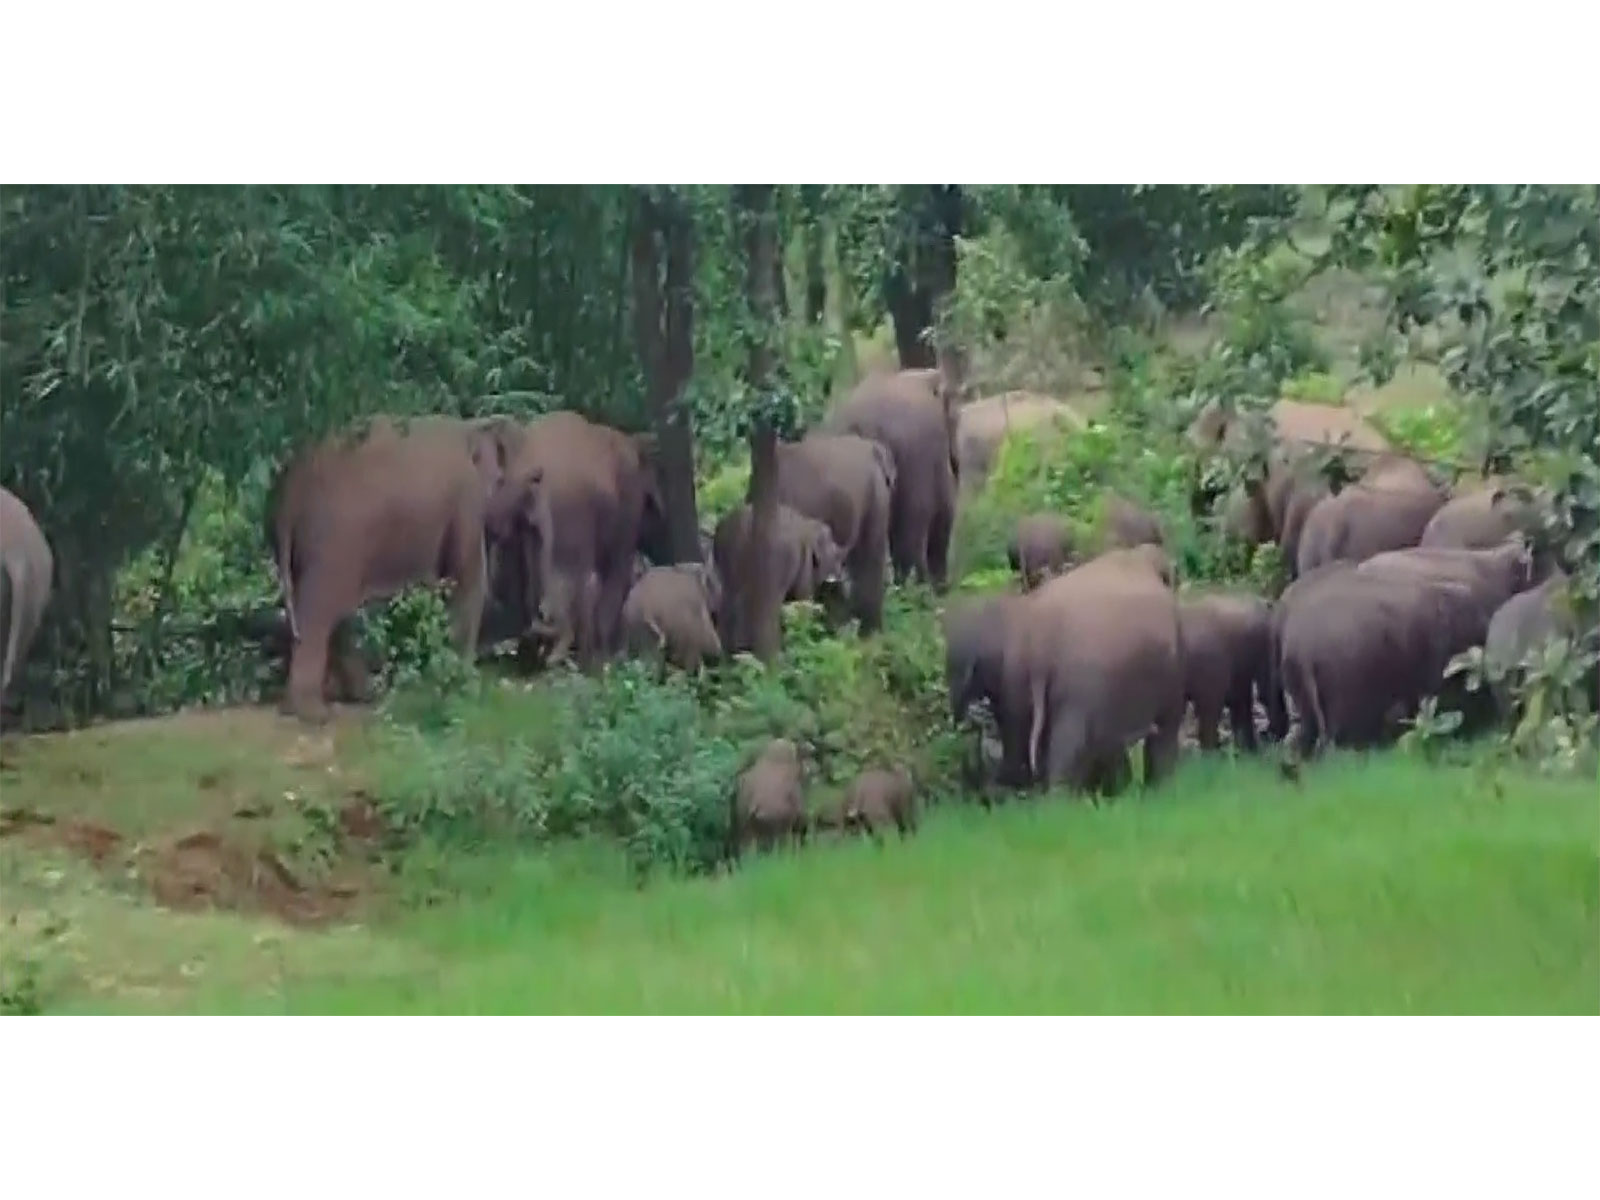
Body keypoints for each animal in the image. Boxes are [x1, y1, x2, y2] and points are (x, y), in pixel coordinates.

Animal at [267, 415, 506, 722]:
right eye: (502, 480)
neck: (470, 426)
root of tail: (289, 494)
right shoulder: (466, 501)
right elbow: (466, 581)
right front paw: (464, 687)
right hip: (335, 541)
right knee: (319, 612)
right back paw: (314, 713)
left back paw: (360, 695)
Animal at [823, 366, 960, 590]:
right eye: (956, 418)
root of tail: (862, 424)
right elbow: (944, 510)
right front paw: (941, 588)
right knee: (912, 525)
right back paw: (917, 590)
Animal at [1001, 545, 1185, 794]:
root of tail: (1039, 640)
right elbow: (1168, 723)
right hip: (1080, 688)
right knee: (1069, 747)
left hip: (1014, 678)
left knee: (1018, 738)